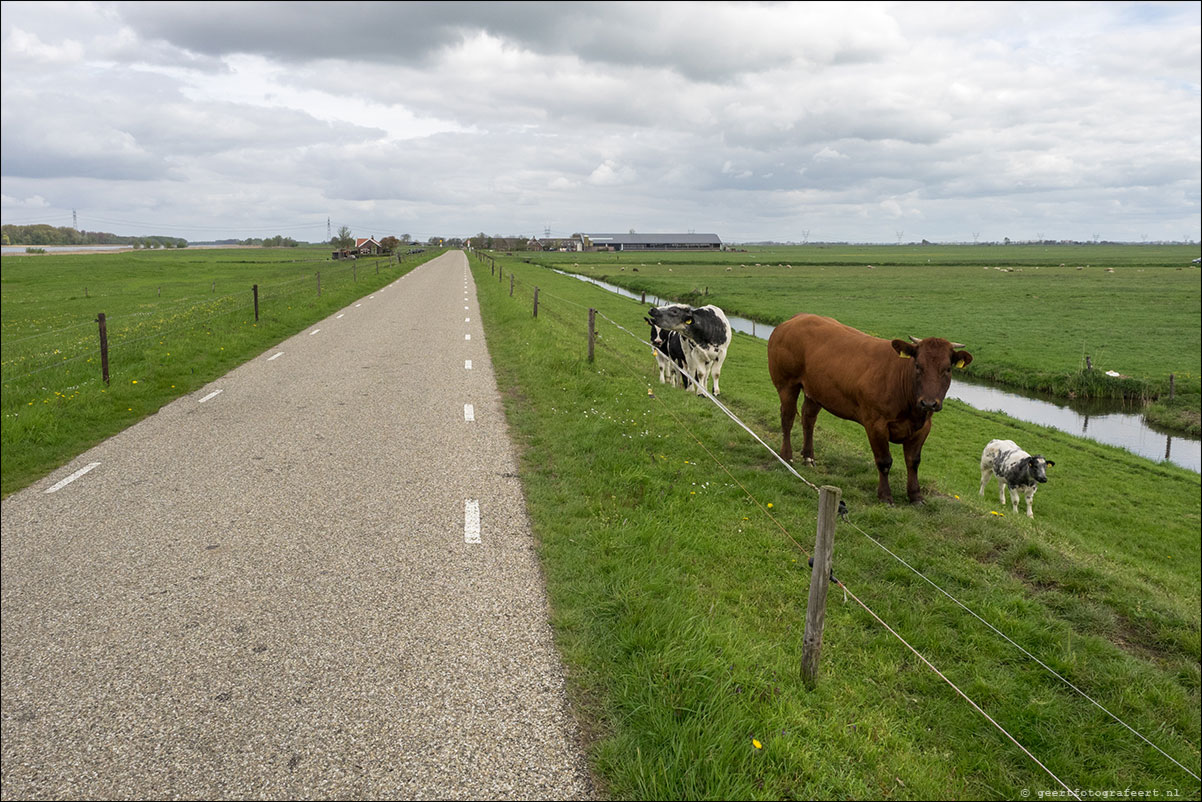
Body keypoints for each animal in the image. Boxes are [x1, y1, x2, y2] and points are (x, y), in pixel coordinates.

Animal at [769, 312, 966, 502]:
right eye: (918, 366)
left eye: (948, 369)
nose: (929, 402)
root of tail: (797, 318)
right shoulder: (875, 423)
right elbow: (884, 461)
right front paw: (885, 495)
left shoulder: (923, 427)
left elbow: (913, 461)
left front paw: (915, 496)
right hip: (787, 384)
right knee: (787, 418)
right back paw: (786, 457)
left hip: (815, 391)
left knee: (808, 419)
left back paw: (809, 457)